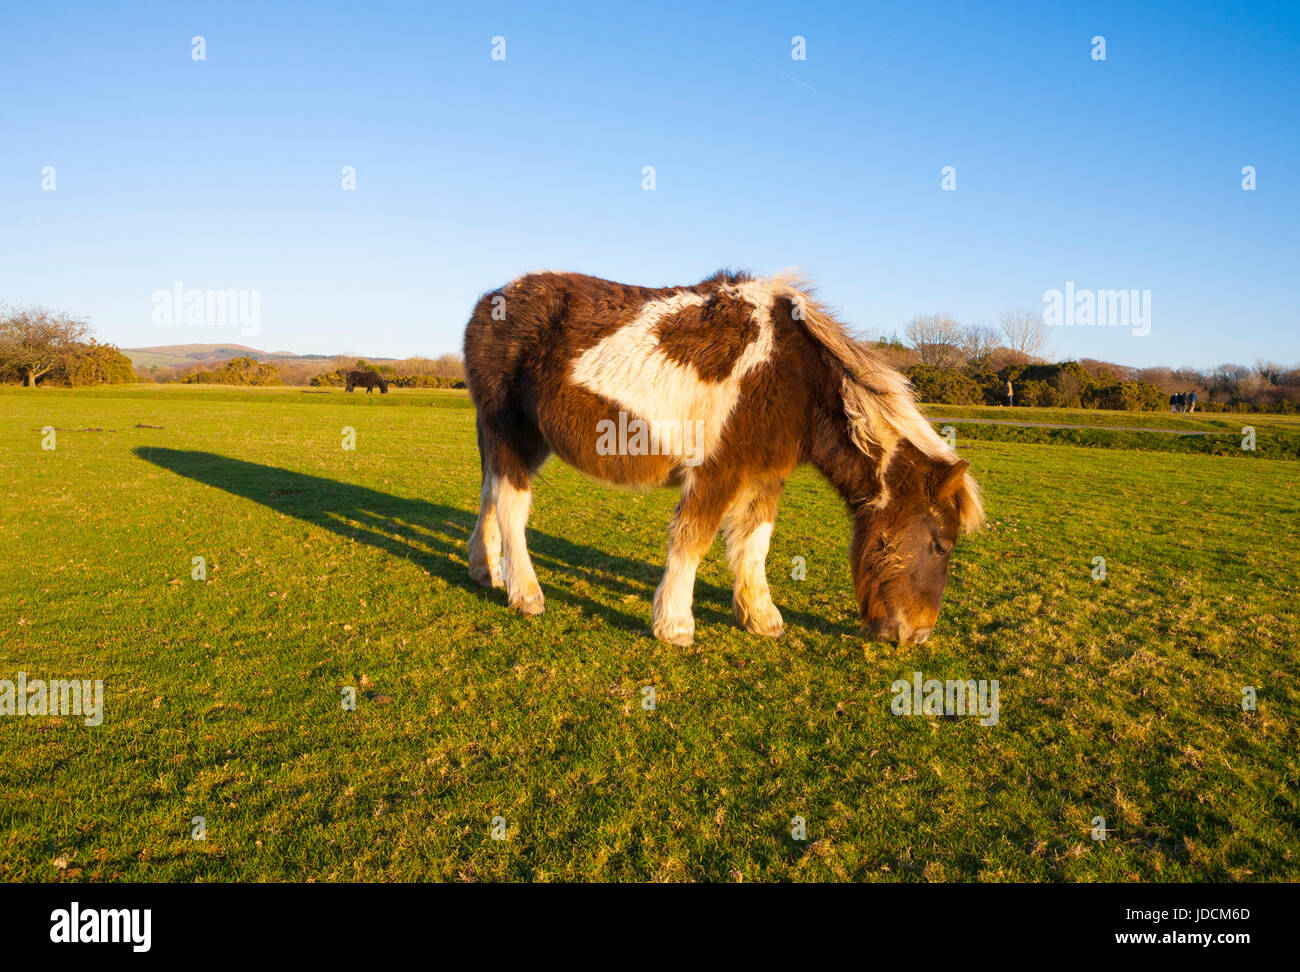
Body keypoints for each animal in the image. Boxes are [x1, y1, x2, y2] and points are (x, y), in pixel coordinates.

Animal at [462, 270, 984, 647]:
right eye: (941, 544)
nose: (917, 635)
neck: (795, 378)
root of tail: (490, 302)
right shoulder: (718, 471)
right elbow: (692, 539)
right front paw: (674, 625)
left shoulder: (765, 476)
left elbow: (754, 543)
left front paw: (761, 617)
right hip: (509, 430)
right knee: (511, 506)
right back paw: (526, 593)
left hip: (521, 437)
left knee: (490, 492)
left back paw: (485, 570)